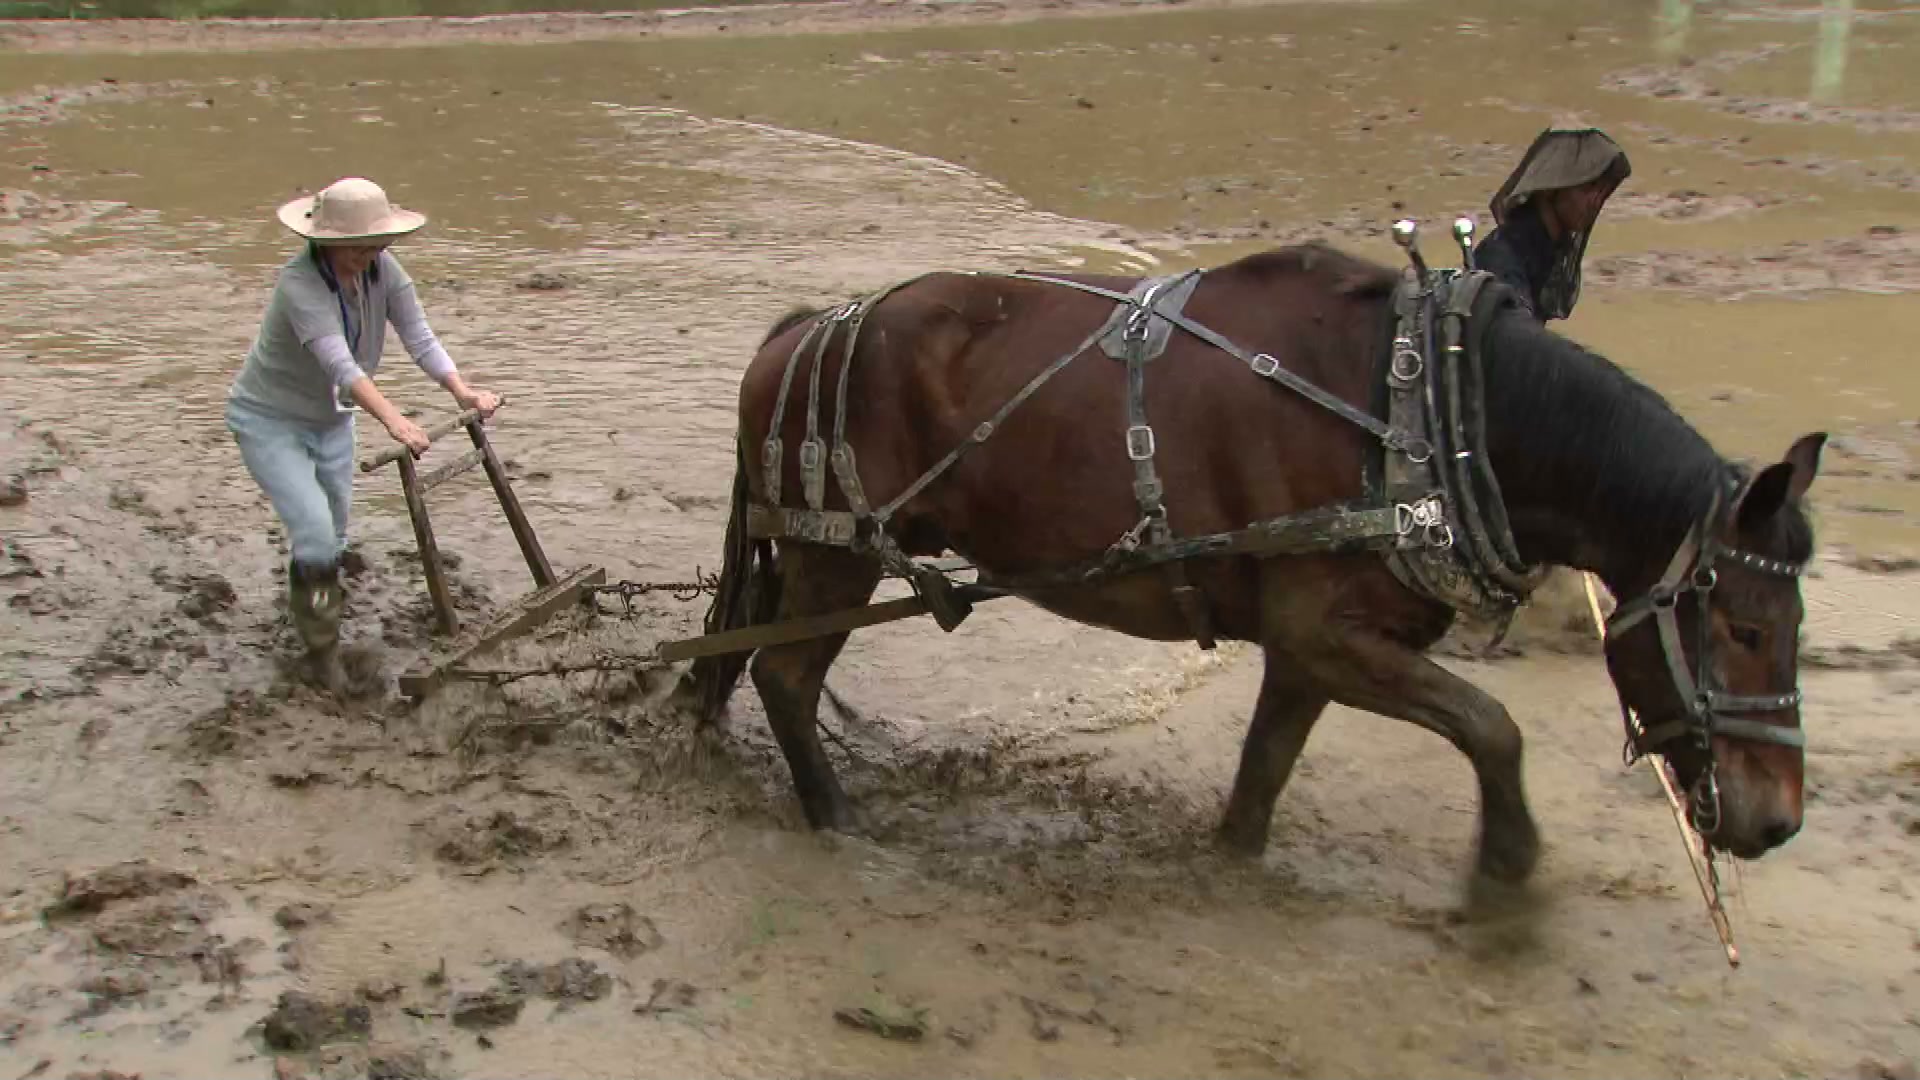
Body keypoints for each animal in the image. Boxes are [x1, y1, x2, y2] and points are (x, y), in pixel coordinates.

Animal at [674, 241, 1824, 893]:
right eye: (1746, 627)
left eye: (1793, 629)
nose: (1777, 822)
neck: (1428, 411)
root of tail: (800, 331)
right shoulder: (1331, 636)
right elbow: (1493, 727)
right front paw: (1508, 876)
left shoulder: (1307, 650)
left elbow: (1264, 775)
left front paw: (1230, 871)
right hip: (831, 558)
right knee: (783, 676)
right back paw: (837, 821)